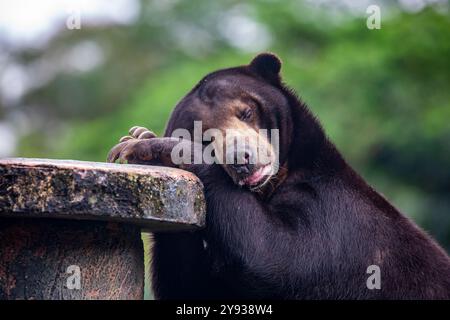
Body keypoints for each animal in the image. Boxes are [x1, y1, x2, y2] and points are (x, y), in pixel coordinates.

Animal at [106, 52, 450, 300]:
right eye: (204, 137)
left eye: (245, 112)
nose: (242, 160)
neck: (276, 181)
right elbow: (191, 287)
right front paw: (138, 137)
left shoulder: (333, 217)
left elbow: (277, 255)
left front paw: (143, 145)